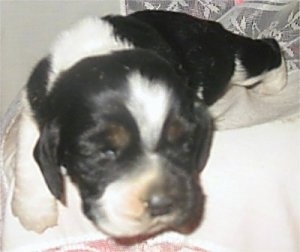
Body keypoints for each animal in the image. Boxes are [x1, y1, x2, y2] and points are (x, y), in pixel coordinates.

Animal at [9, 10, 286, 236]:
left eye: (185, 143)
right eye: (102, 153)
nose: (161, 205)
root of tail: (206, 23)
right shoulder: (33, 101)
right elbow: (28, 153)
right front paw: (33, 212)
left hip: (228, 63)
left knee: (267, 49)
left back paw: (275, 84)